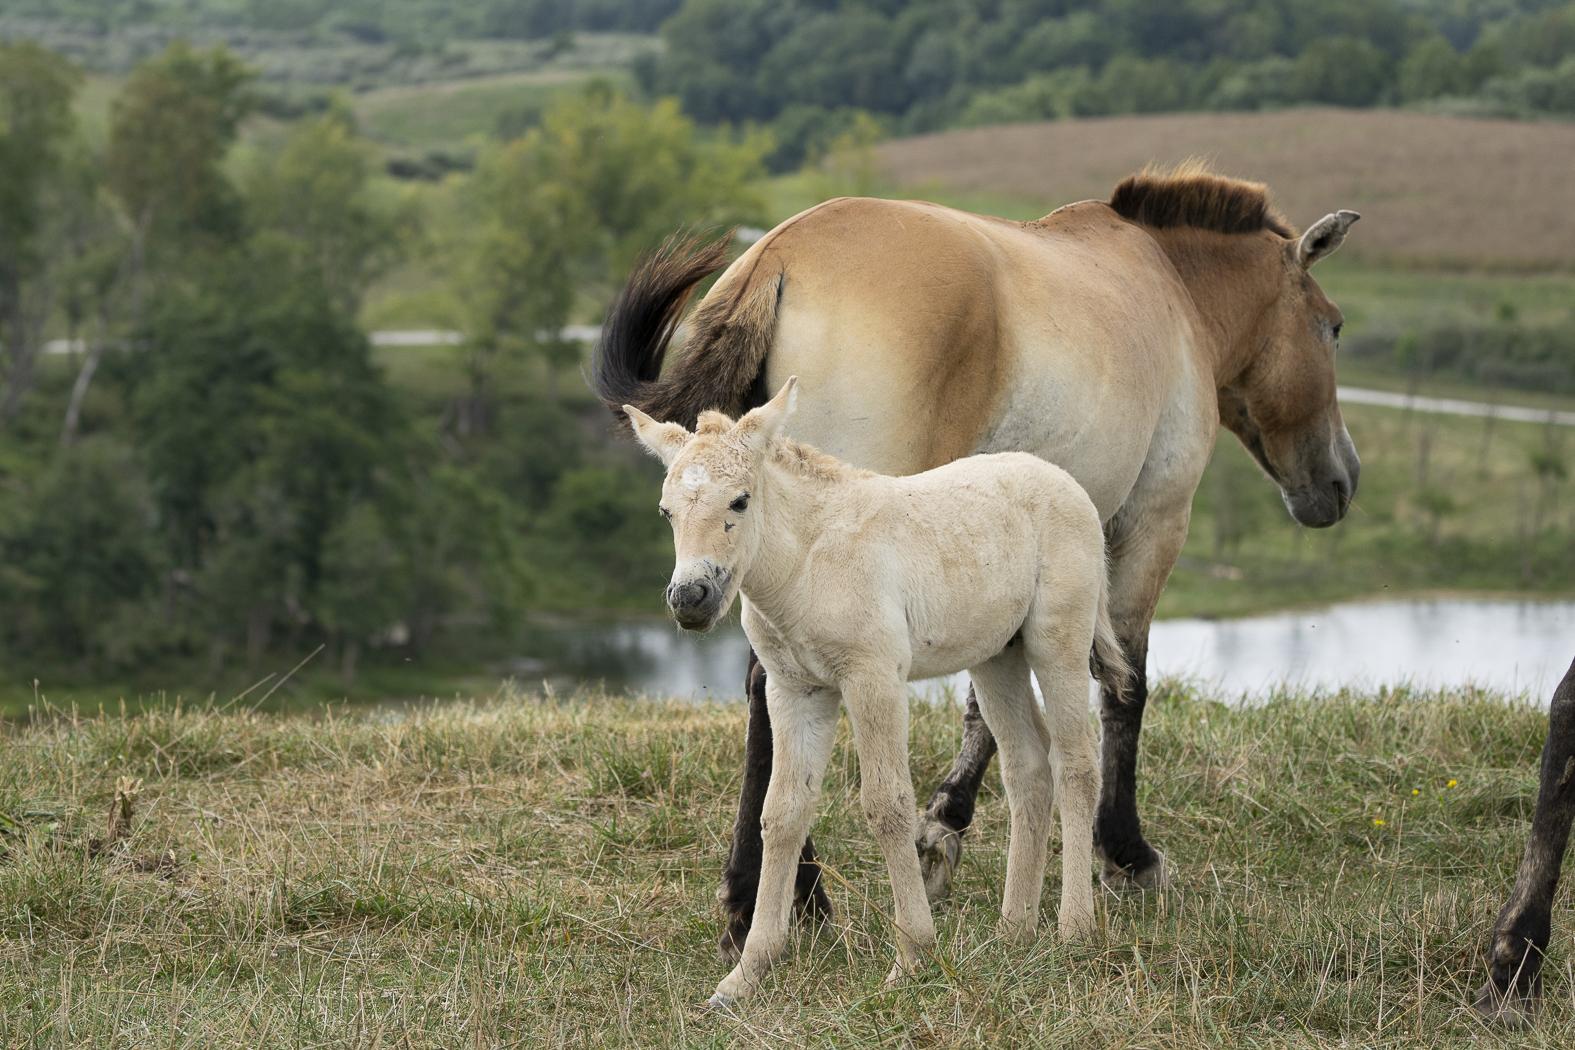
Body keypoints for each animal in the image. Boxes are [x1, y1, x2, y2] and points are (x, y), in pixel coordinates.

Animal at [625, 377, 1131, 1006]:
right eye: (666, 510)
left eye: (739, 501)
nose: (690, 599)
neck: (807, 562)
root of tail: (1066, 483)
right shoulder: (796, 690)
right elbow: (782, 811)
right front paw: (747, 973)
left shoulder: (873, 678)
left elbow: (888, 804)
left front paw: (913, 956)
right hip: (998, 656)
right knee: (1028, 768)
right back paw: (1015, 930)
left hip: (1057, 638)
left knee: (1075, 764)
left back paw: (1073, 930)